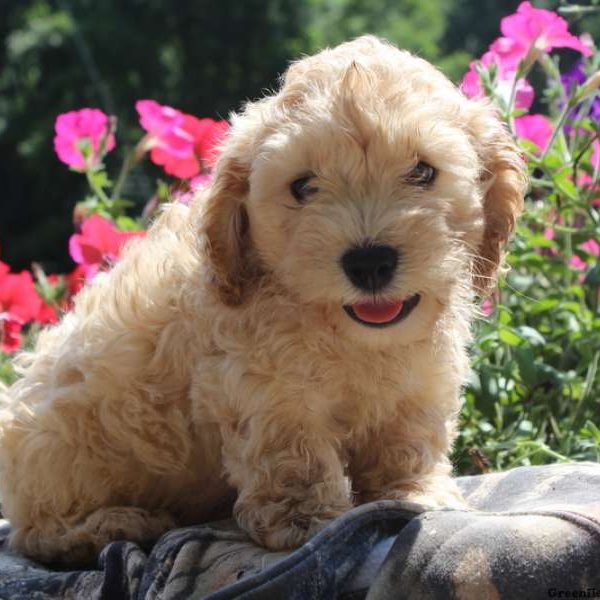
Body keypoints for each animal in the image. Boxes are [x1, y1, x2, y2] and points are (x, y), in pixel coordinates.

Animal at [0, 36, 524, 564]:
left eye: (422, 171)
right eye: (303, 186)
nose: (369, 262)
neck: (351, 337)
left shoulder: (420, 381)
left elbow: (410, 438)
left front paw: (415, 492)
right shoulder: (263, 386)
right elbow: (293, 451)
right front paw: (303, 519)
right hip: (52, 453)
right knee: (35, 531)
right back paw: (111, 525)